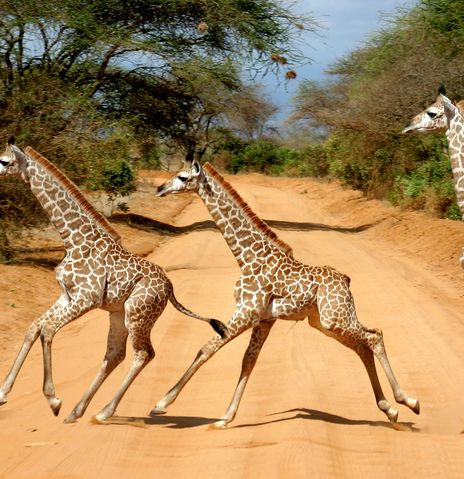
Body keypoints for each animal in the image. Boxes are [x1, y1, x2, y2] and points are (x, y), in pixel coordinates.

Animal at [0, 141, 227, 426]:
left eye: (4, 161)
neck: (73, 238)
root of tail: (170, 288)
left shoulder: (87, 298)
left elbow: (48, 330)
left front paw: (53, 400)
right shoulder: (67, 295)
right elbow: (33, 328)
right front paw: (3, 394)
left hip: (137, 314)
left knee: (143, 353)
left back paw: (104, 411)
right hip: (118, 313)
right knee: (115, 353)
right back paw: (78, 411)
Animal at [153, 160, 420, 428]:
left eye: (183, 177)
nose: (160, 188)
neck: (247, 257)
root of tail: (345, 280)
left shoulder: (246, 311)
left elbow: (206, 349)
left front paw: (162, 404)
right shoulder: (264, 319)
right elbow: (248, 360)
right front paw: (226, 416)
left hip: (334, 319)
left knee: (374, 336)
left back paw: (409, 401)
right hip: (323, 322)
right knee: (363, 345)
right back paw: (390, 409)